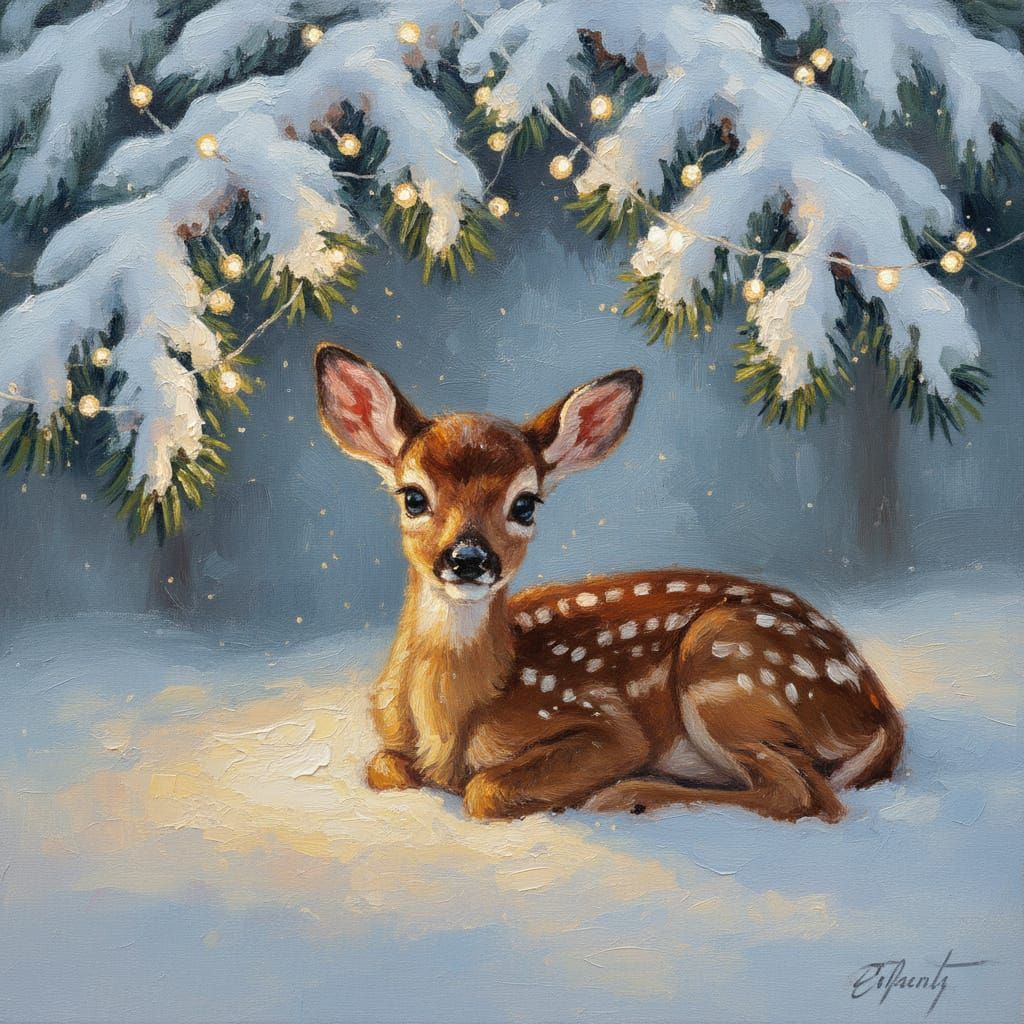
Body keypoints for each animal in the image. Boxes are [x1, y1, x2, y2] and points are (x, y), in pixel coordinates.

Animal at [314, 343, 904, 823]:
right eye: (413, 496)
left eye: (525, 504)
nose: (468, 559)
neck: (450, 720)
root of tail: (878, 708)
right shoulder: (390, 740)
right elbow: (382, 767)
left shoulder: (607, 724)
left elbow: (484, 790)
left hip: (724, 664)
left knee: (807, 796)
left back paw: (630, 794)